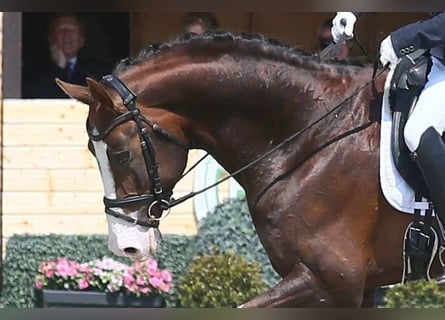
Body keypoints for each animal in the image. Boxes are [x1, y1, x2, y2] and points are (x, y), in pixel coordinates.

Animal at [55, 32, 440, 308]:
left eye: (120, 154)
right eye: (92, 151)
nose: (125, 247)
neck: (318, 133)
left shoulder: (330, 281)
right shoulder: (355, 288)